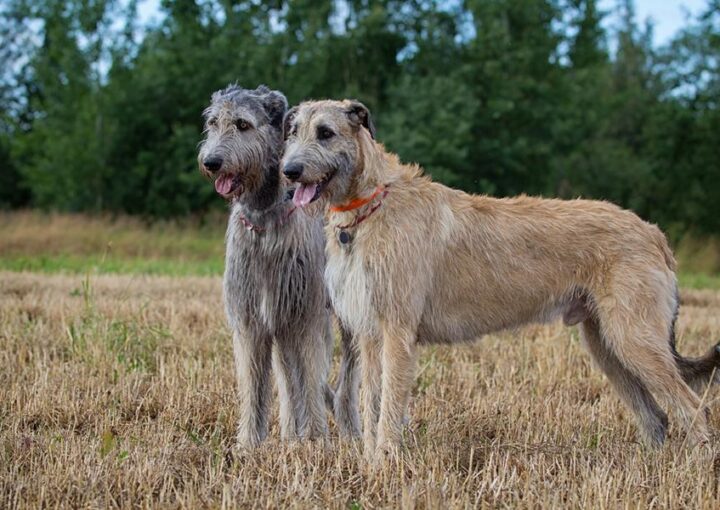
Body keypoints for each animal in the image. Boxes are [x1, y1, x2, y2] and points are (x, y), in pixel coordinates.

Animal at [197, 84, 360, 446]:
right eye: (213, 123)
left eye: (242, 124)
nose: (211, 161)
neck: (263, 220)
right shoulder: (252, 319)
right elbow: (254, 383)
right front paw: (248, 444)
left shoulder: (307, 315)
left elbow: (311, 376)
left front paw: (316, 440)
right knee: (288, 377)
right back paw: (289, 432)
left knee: (347, 377)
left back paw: (349, 427)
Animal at [282, 99, 720, 462]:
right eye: (293, 132)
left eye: (325, 132)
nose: (288, 172)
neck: (371, 203)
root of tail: (654, 233)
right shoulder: (372, 335)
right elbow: (371, 401)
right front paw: (372, 460)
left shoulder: (397, 331)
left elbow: (389, 404)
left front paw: (386, 462)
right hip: (607, 345)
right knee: (656, 416)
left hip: (634, 337)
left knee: (692, 406)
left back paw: (695, 467)